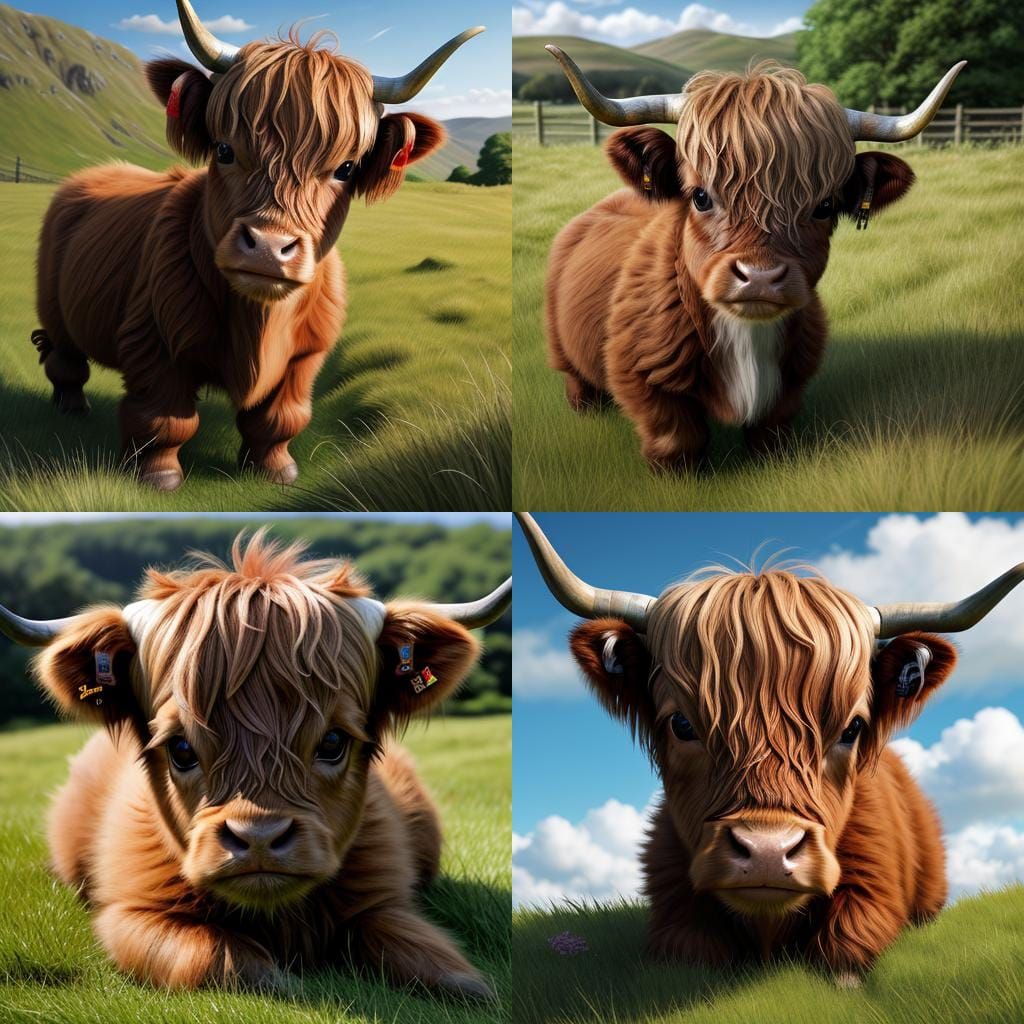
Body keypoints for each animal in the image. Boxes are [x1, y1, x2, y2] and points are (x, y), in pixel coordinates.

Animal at [0, 531, 511, 997]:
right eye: (181, 749)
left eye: (333, 742)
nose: (260, 839)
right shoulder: (128, 914)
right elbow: (219, 957)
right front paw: (287, 981)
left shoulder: (384, 894)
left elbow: (427, 954)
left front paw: (475, 987)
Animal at [32, 2, 482, 490]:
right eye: (224, 150)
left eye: (346, 169)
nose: (268, 247)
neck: (259, 323)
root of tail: (97, 172)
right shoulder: (154, 340)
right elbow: (164, 418)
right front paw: (158, 476)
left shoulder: (306, 355)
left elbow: (281, 418)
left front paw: (274, 470)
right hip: (54, 308)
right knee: (66, 362)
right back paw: (72, 409)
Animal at [542, 53, 965, 471]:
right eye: (700, 196)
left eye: (825, 206)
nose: (760, 278)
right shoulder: (644, 378)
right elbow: (677, 440)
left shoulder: (790, 383)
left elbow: (770, 433)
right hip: (564, 353)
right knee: (578, 385)